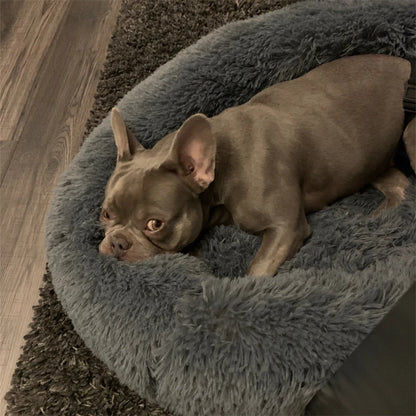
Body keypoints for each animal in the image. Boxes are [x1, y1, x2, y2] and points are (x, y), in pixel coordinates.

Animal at [99, 55, 414, 276]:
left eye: (155, 224)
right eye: (105, 214)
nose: (117, 242)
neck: (220, 169)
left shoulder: (285, 229)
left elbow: (256, 272)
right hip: (373, 163)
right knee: (400, 188)